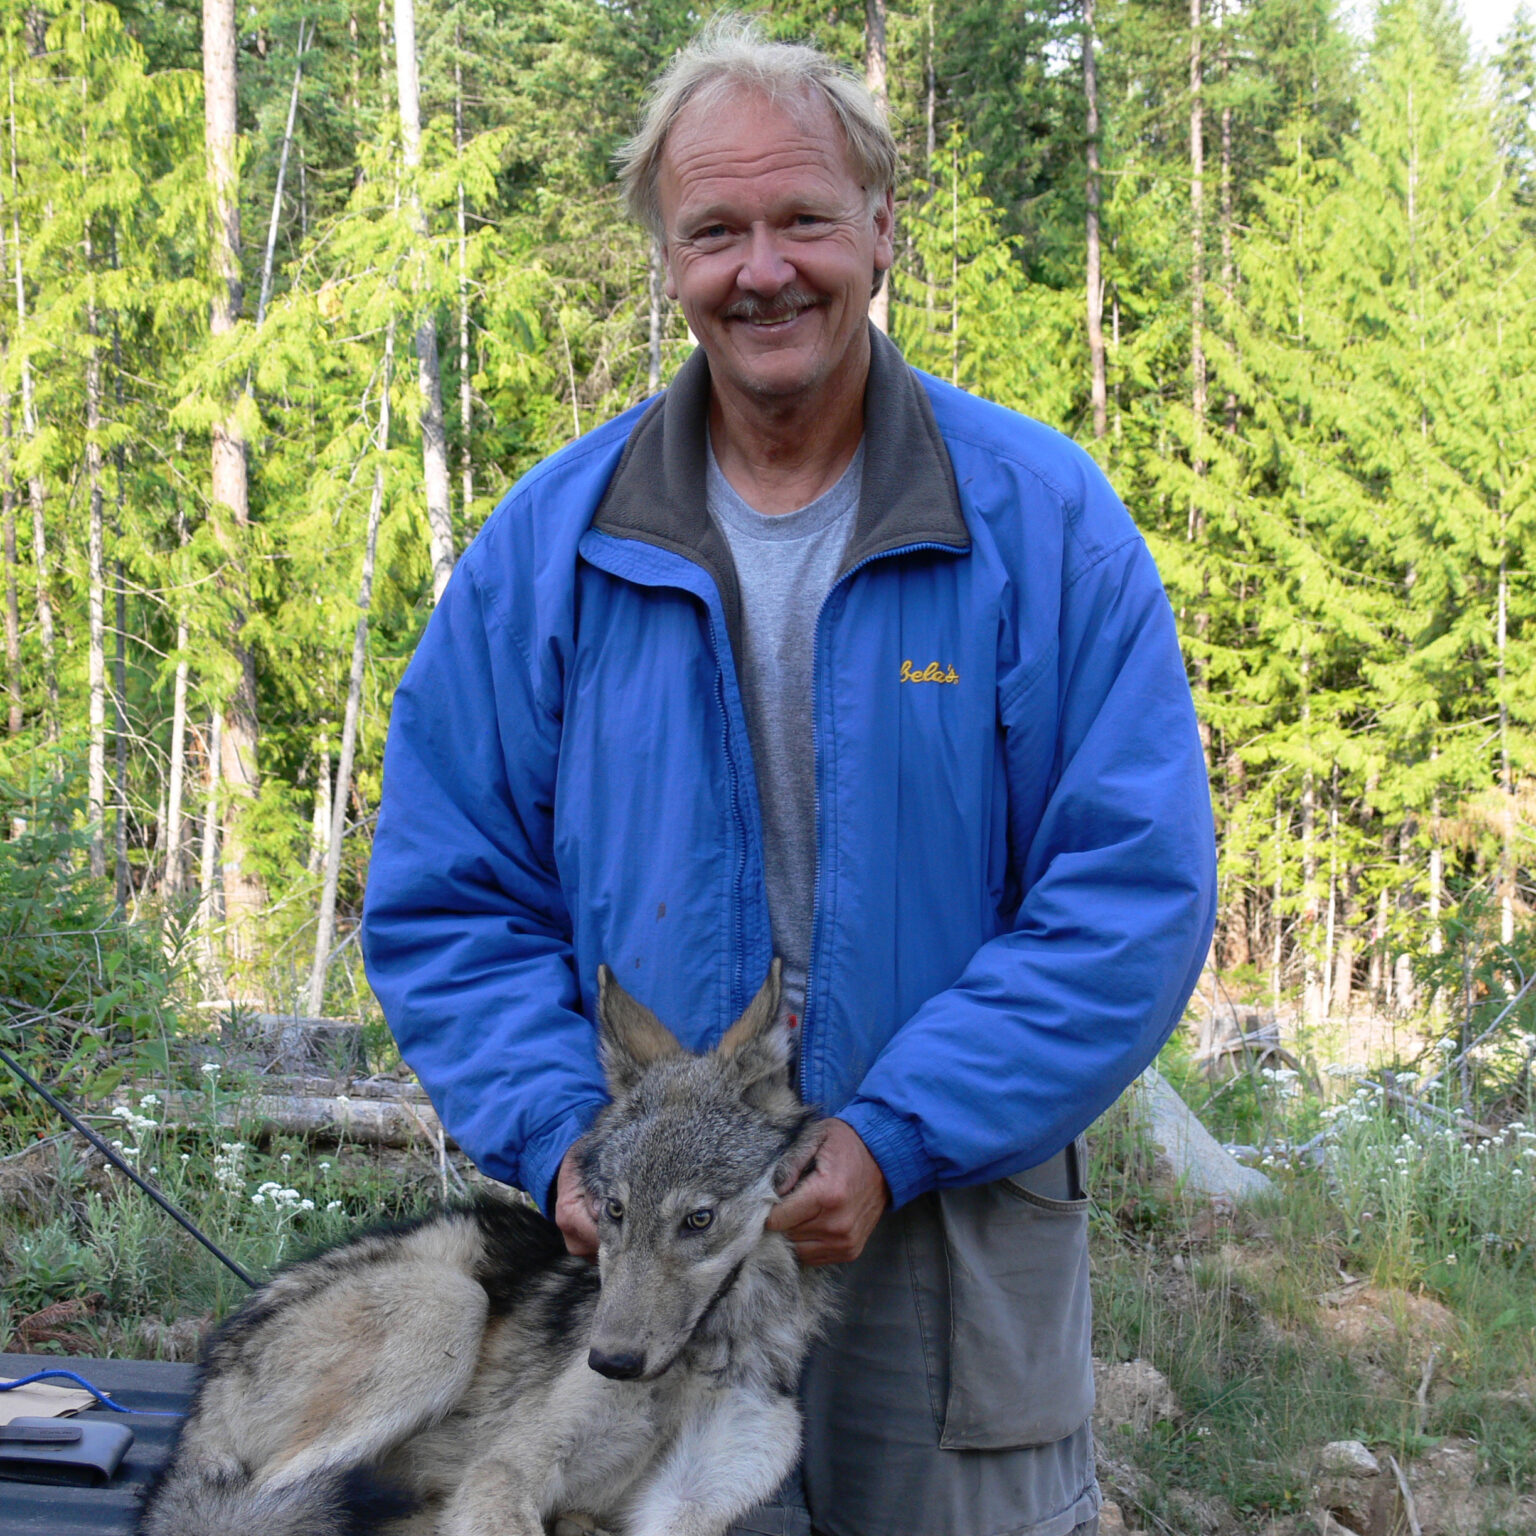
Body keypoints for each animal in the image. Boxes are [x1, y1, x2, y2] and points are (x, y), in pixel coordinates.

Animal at [136, 960, 831, 1536]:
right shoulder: (507, 1470)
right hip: (446, 1305)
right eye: (614, 1210)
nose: (608, 1362)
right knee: (264, 1504)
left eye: (698, 1219)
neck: (698, 1361)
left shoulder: (688, 1504)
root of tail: (203, 1394)